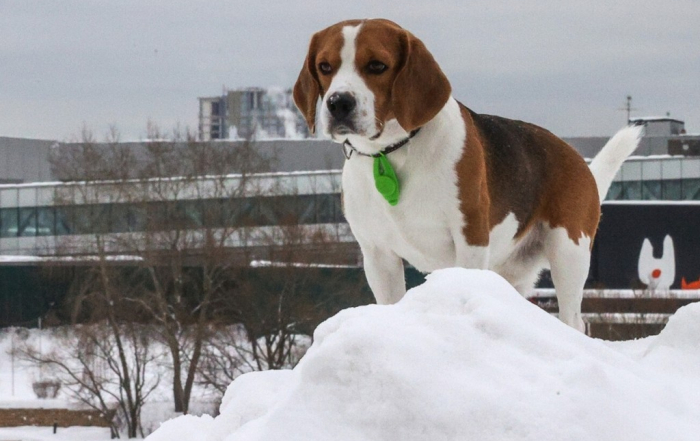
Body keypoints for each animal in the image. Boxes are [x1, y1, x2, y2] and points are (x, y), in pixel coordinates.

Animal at [292, 18, 644, 332]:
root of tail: (578, 159)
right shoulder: (378, 255)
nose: (339, 103)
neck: (393, 152)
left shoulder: (470, 238)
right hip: (510, 273)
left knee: (574, 320)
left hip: (568, 253)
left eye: (377, 65)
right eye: (325, 66)